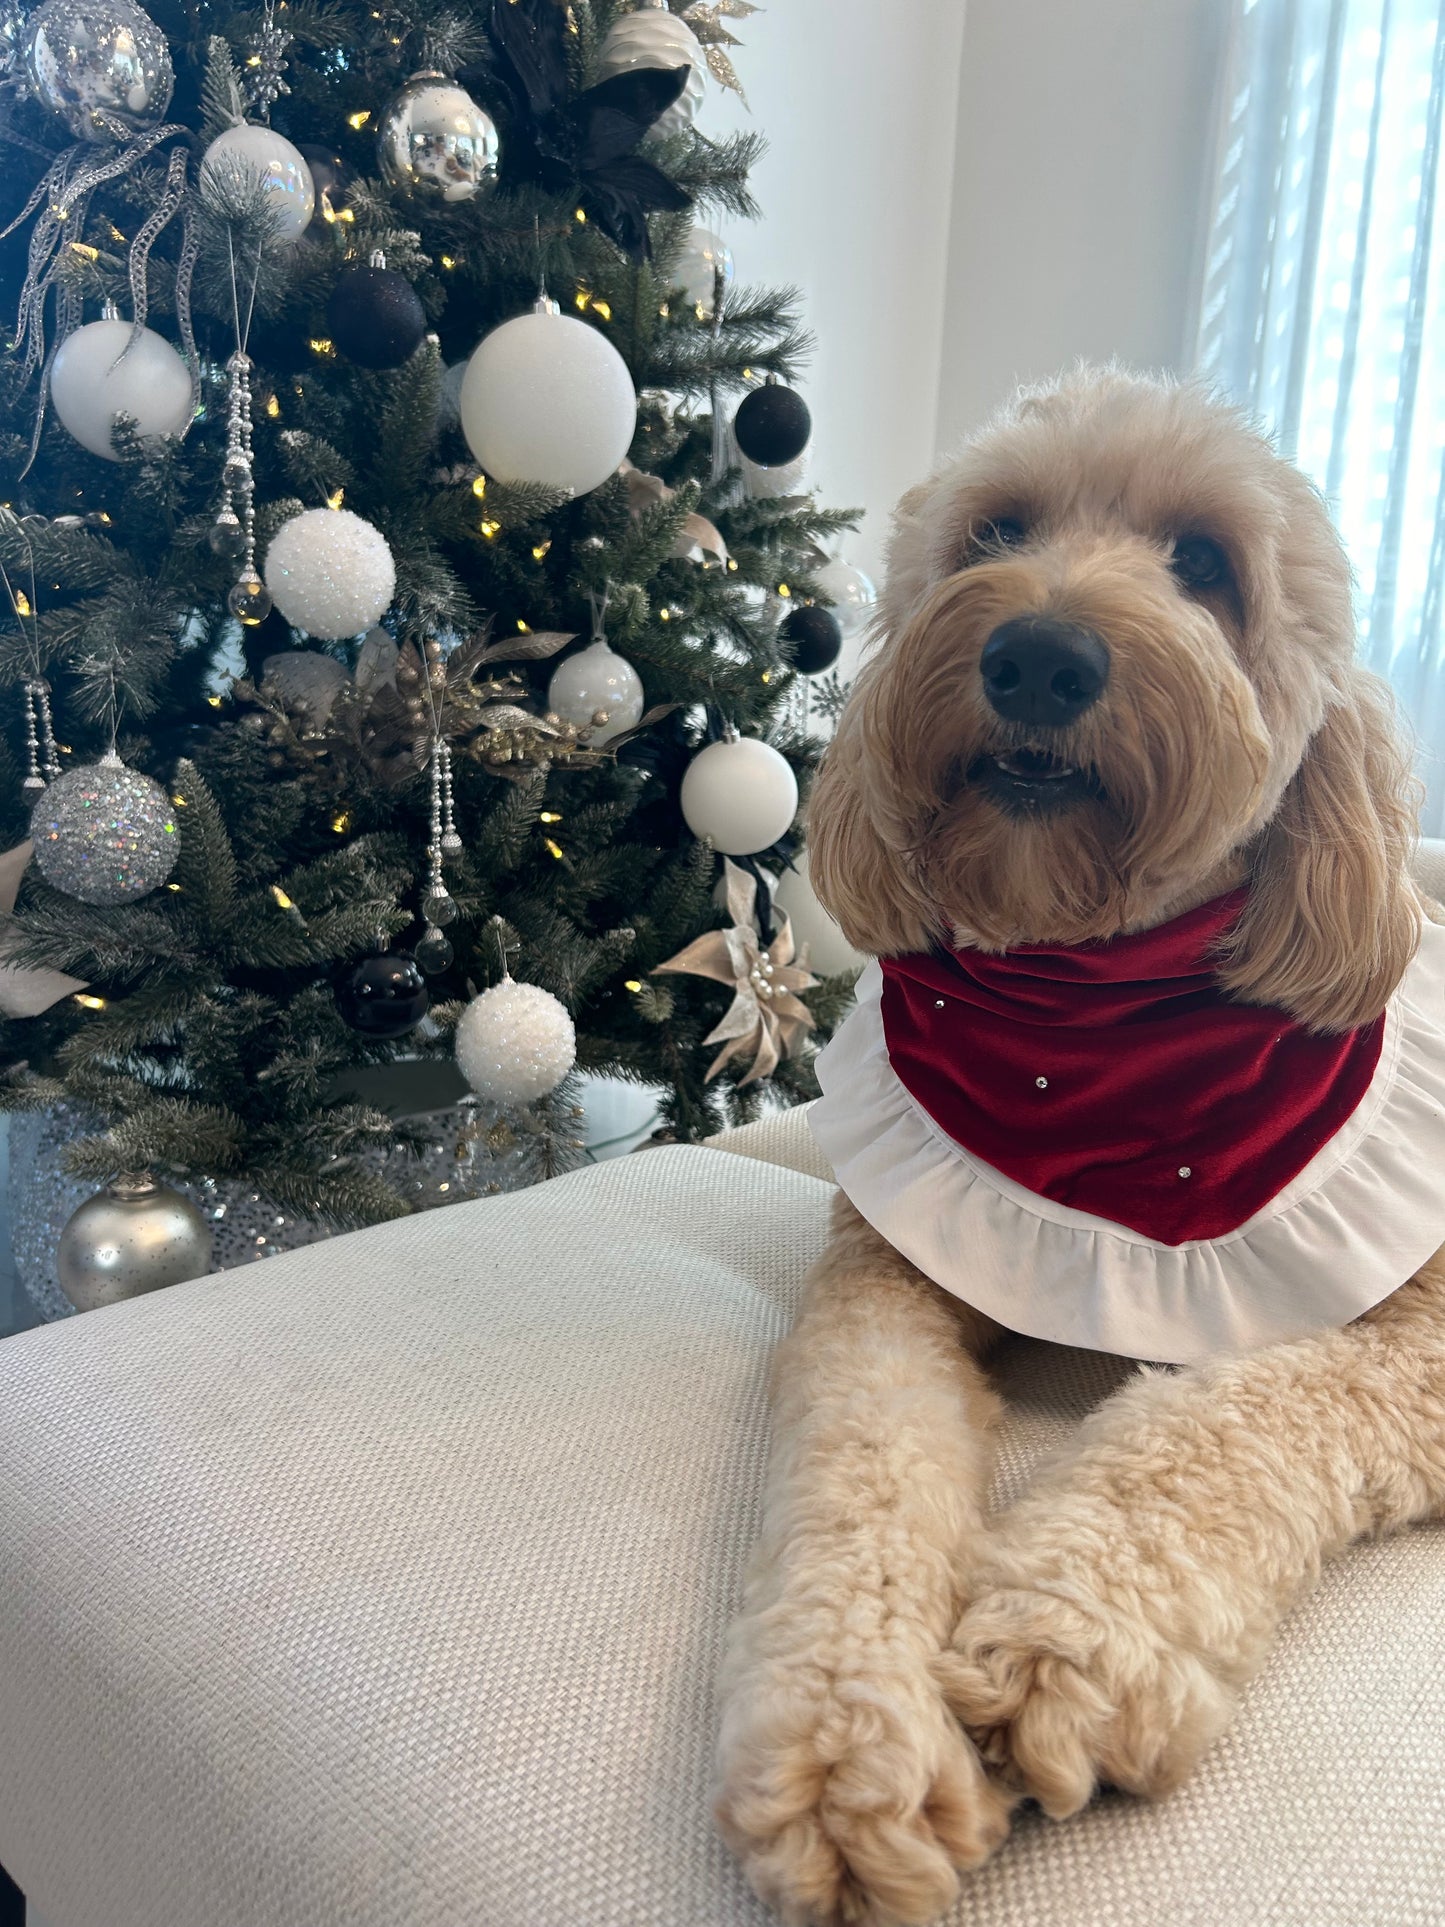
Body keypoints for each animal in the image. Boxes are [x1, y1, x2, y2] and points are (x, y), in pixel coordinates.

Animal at [712, 371, 1445, 1927]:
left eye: (1205, 564)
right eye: (998, 528)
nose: (1038, 656)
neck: (1093, 1013)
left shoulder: (1420, 1336)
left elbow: (1228, 1415)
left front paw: (1066, 1637)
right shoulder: (887, 1276)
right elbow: (859, 1458)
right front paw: (842, 1735)